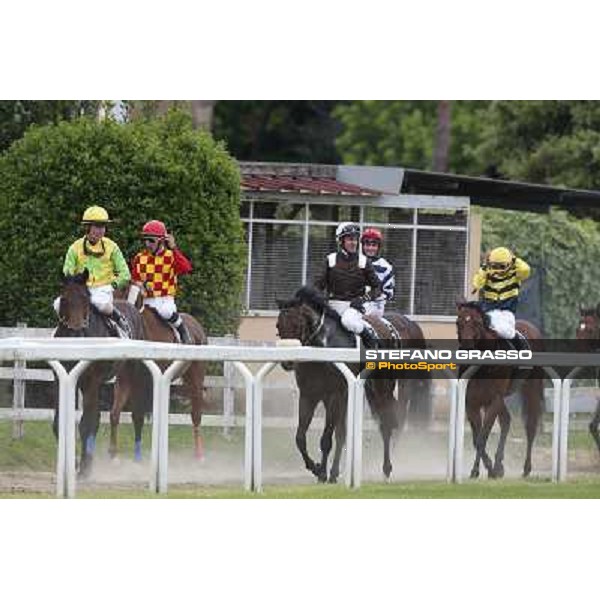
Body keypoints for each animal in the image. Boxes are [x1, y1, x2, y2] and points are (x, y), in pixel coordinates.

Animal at [54, 270, 146, 476]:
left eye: (85, 299)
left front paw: (83, 469)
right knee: (106, 415)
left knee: (136, 414)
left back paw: (136, 459)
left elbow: (85, 424)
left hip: (132, 374)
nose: (76, 332)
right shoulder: (63, 380)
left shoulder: (90, 381)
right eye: (64, 299)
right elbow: (60, 423)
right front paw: (74, 462)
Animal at [276, 286, 432, 482]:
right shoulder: (310, 395)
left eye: (298, 325)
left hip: (385, 387)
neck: (324, 345)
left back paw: (386, 468)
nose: (287, 362)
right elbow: (301, 437)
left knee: (388, 422)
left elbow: (327, 438)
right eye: (278, 326)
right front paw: (317, 468)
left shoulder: (336, 394)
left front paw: (323, 473)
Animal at [458, 302, 548, 480]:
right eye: (458, 323)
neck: (483, 370)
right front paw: (488, 468)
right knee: (506, 420)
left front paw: (481, 470)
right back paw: (499, 465)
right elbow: (476, 439)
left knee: (530, 426)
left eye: (476, 323)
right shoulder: (471, 403)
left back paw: (526, 468)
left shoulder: (493, 400)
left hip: (531, 389)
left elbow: (482, 437)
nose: (466, 348)